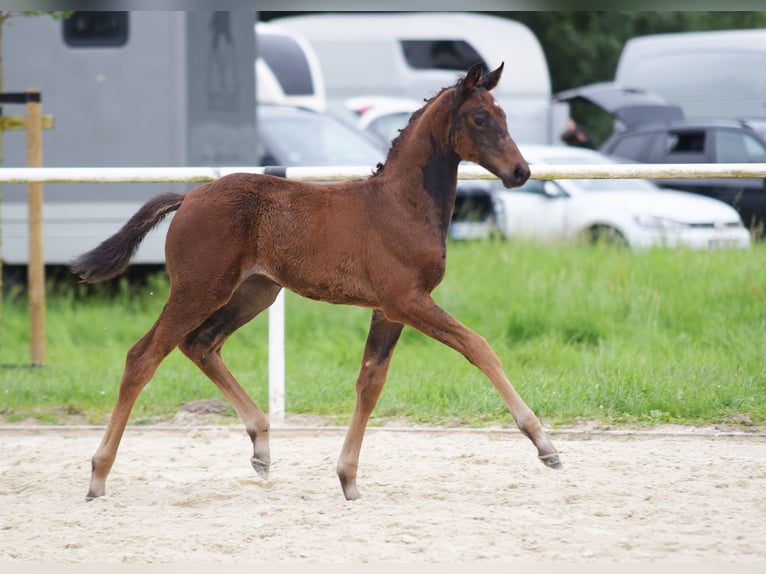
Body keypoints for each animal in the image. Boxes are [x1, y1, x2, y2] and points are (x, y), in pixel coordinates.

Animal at [73, 64, 564, 504]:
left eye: (503, 115)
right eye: (480, 118)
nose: (520, 171)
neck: (401, 204)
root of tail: (189, 195)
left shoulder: (388, 308)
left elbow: (370, 382)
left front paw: (348, 478)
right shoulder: (407, 299)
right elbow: (478, 347)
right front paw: (545, 445)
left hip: (255, 292)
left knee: (201, 344)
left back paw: (261, 444)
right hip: (199, 289)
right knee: (144, 356)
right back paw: (98, 474)